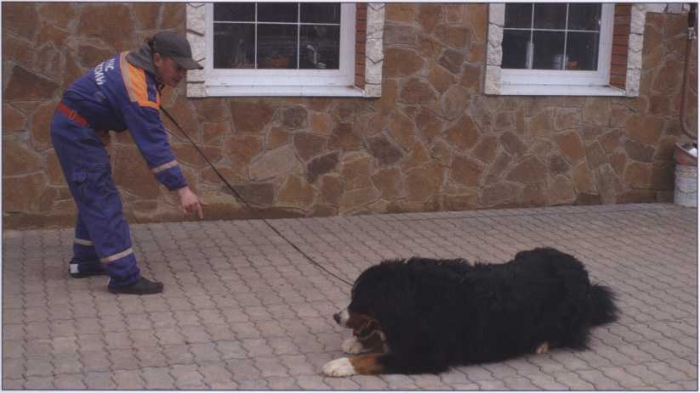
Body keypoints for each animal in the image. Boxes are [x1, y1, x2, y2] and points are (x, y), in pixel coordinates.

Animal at [322, 247, 616, 376]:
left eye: (358, 299)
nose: (336, 316)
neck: (415, 297)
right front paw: (357, 343)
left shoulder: (426, 355)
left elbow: (379, 358)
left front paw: (341, 365)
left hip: (567, 315)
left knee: (572, 333)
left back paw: (542, 343)